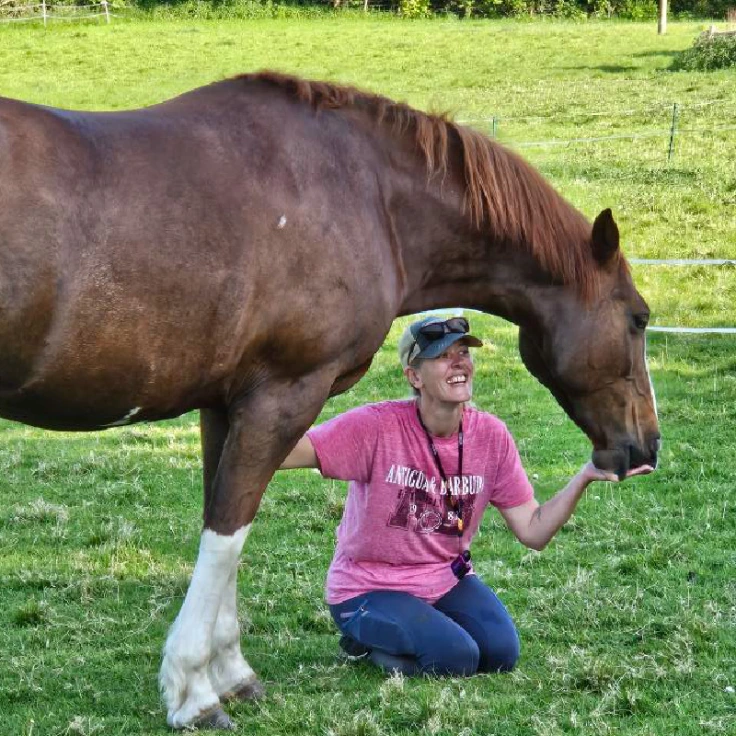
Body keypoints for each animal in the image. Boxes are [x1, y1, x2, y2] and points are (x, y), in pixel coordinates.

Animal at [0, 72, 660, 729]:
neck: (365, 193)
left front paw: (230, 673)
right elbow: (227, 533)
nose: (646, 446)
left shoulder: (226, 405)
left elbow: (223, 525)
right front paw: (193, 691)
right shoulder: (284, 395)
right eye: (639, 318)